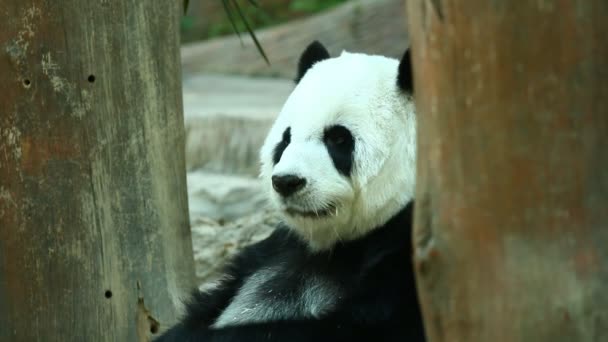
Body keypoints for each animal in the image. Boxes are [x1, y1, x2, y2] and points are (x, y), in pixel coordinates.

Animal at [157, 42, 422, 342]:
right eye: (286, 138)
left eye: (338, 138)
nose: (287, 181)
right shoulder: (271, 251)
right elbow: (204, 310)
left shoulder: (406, 258)